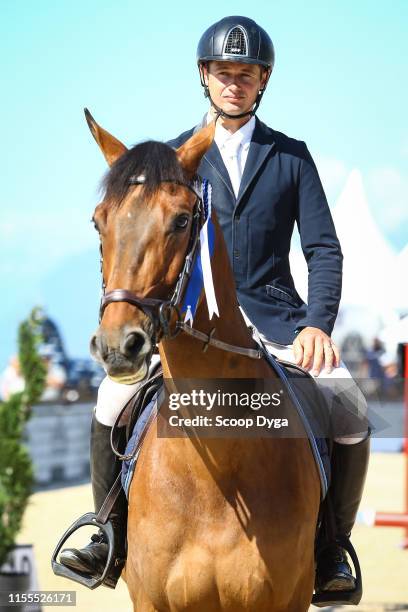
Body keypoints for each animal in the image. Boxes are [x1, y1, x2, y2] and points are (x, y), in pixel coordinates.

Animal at [87, 111, 322, 612]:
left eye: (180, 220)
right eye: (99, 222)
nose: (118, 346)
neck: (216, 471)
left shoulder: (285, 599)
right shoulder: (151, 600)